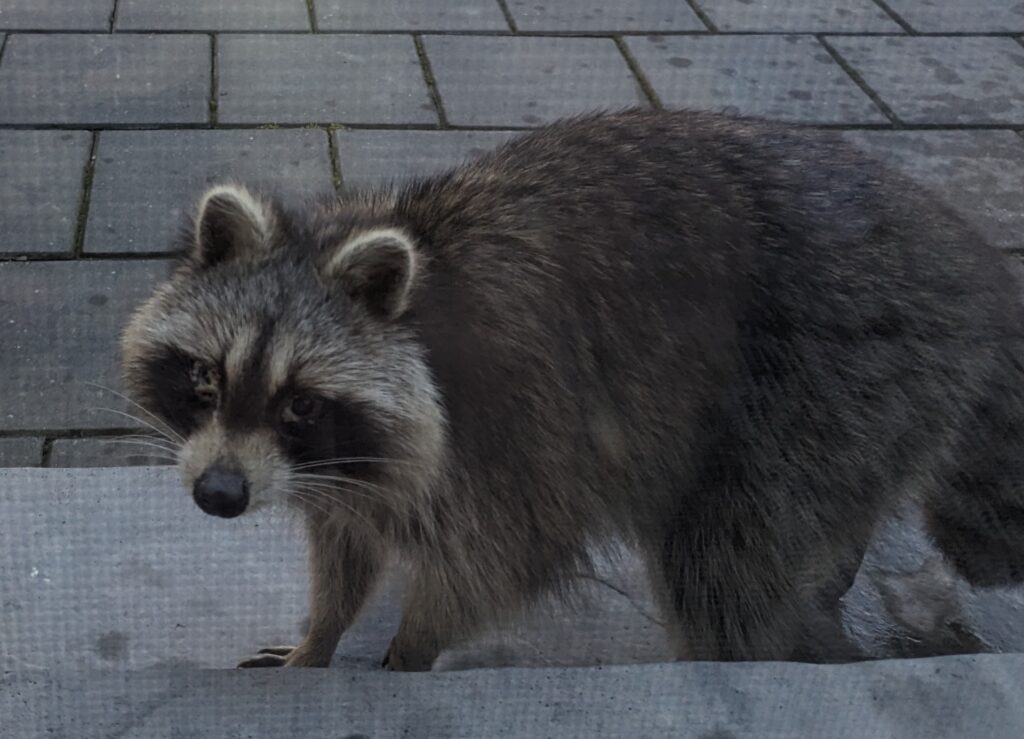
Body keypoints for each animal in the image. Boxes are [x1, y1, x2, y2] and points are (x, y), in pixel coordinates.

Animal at [121, 109, 1024, 667]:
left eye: (301, 401)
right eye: (204, 376)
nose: (219, 495)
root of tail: (973, 265)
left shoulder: (512, 427)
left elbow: (501, 558)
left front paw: (405, 653)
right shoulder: (347, 467)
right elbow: (347, 540)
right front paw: (320, 635)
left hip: (824, 378)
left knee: (722, 567)